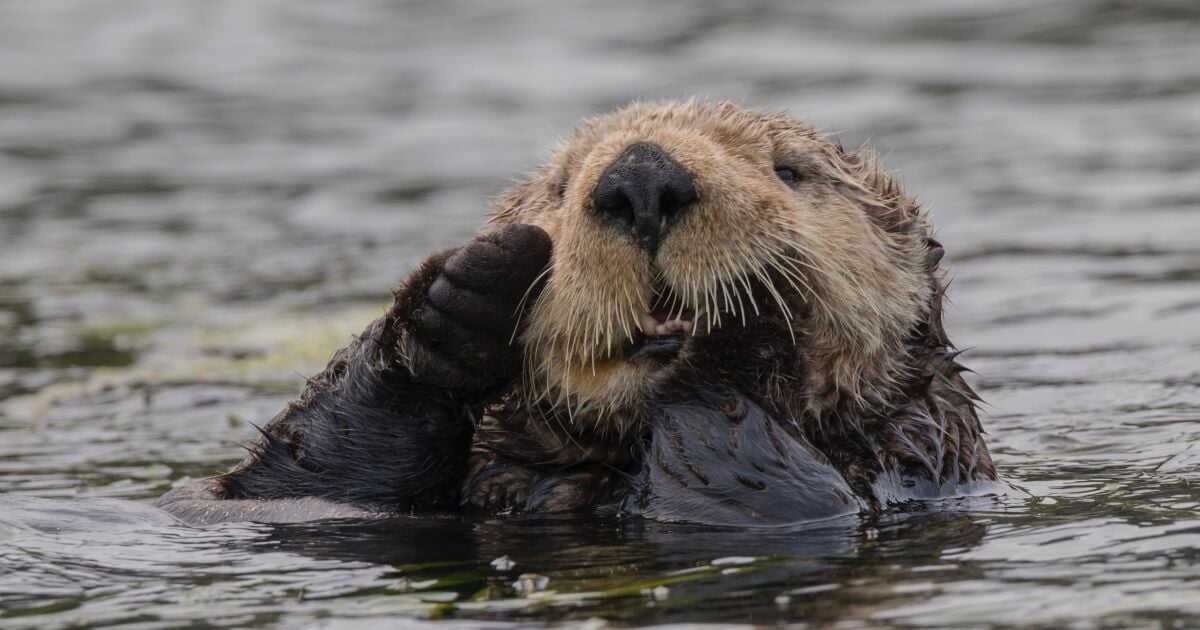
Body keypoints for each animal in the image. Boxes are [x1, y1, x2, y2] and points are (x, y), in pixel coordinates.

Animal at [157, 100, 997, 526]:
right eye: (560, 187)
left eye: (790, 172)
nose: (642, 176)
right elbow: (284, 487)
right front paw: (461, 299)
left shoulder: (904, 460)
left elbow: (766, 491)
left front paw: (747, 318)